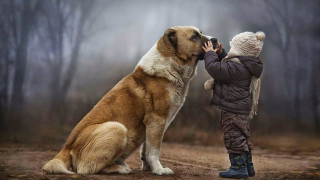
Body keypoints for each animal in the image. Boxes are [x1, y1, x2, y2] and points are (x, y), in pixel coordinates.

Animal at [42, 26, 208, 175]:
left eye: (200, 33)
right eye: (195, 36)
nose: (213, 40)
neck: (171, 64)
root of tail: (66, 147)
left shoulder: (152, 126)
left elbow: (146, 150)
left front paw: (149, 168)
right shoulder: (157, 120)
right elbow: (154, 150)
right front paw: (159, 170)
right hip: (117, 128)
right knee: (85, 169)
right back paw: (120, 168)